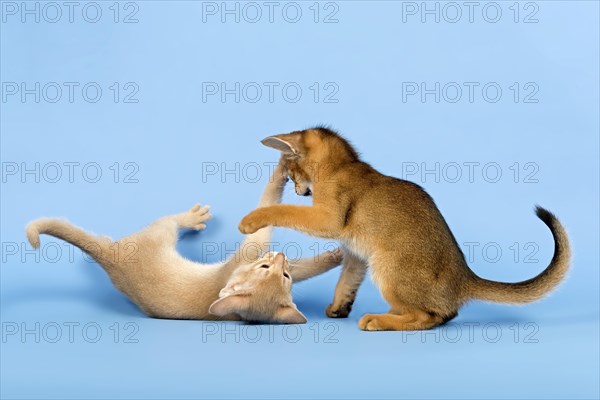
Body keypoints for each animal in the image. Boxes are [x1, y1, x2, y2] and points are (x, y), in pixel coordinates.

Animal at [25, 161, 342, 324]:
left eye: (284, 275)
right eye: (265, 268)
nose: (280, 257)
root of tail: (109, 256)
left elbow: (309, 264)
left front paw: (338, 254)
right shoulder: (254, 246)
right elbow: (268, 204)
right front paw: (281, 168)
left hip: (158, 232)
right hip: (161, 232)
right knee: (170, 220)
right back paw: (193, 217)